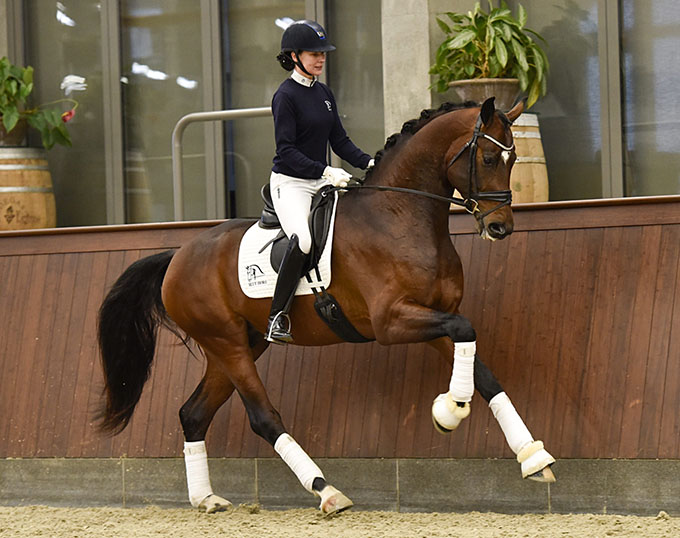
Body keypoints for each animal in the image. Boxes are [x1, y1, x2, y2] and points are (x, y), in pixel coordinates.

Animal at [97, 98, 552, 512]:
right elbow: (466, 333)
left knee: (193, 413)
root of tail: (177, 256)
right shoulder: (391, 322)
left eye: (514, 159)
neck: (399, 214)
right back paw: (326, 490)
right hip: (227, 344)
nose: (500, 227)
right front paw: (451, 411)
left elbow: (482, 368)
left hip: (237, 346)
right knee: (263, 417)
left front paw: (533, 456)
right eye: (489, 157)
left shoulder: (431, 317)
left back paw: (206, 498)